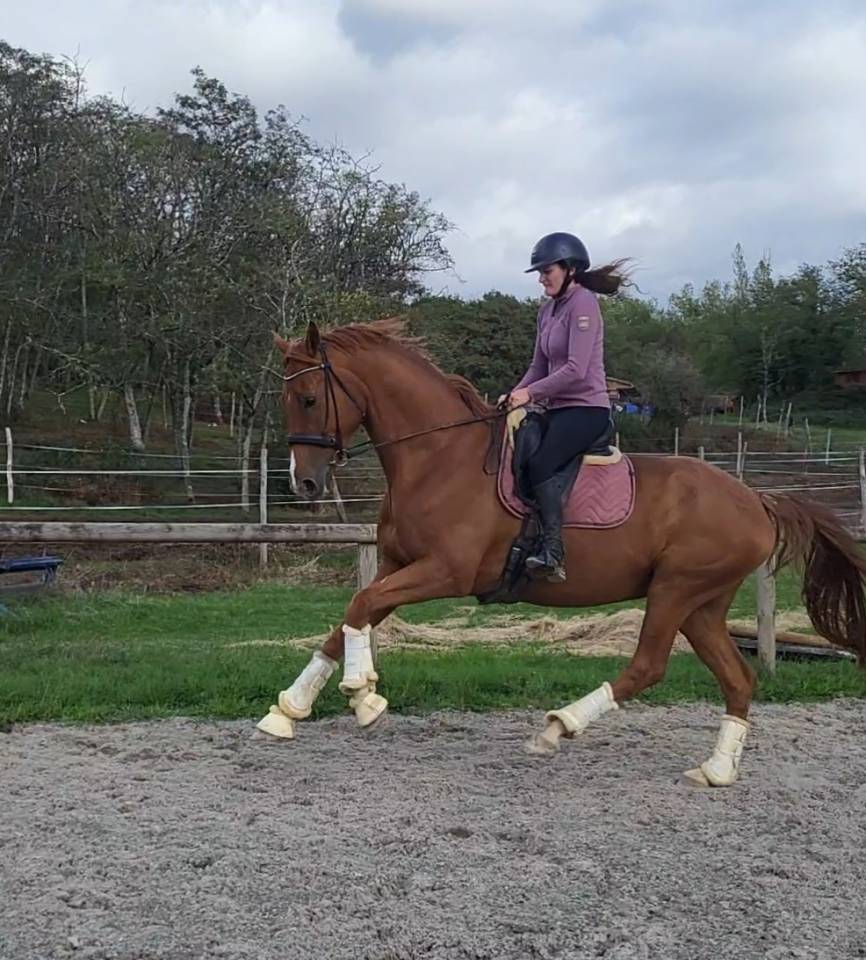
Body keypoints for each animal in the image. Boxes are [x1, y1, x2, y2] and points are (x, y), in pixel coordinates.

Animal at [255, 317, 866, 787]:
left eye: (309, 399)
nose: (304, 484)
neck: (439, 458)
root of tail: (755, 499)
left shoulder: (445, 573)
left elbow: (359, 609)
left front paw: (363, 696)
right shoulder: (397, 566)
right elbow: (347, 621)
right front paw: (289, 710)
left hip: (676, 590)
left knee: (648, 666)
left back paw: (558, 726)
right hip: (702, 605)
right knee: (738, 680)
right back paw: (716, 771)